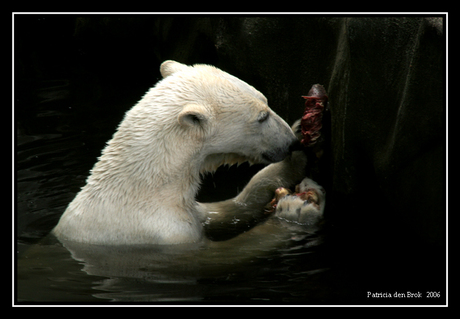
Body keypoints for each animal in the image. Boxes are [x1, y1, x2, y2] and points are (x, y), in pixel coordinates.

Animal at [54, 61, 310, 246]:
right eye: (262, 116)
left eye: (266, 101)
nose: (291, 142)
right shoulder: (166, 233)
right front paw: (294, 213)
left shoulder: (190, 212)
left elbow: (226, 210)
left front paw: (295, 159)